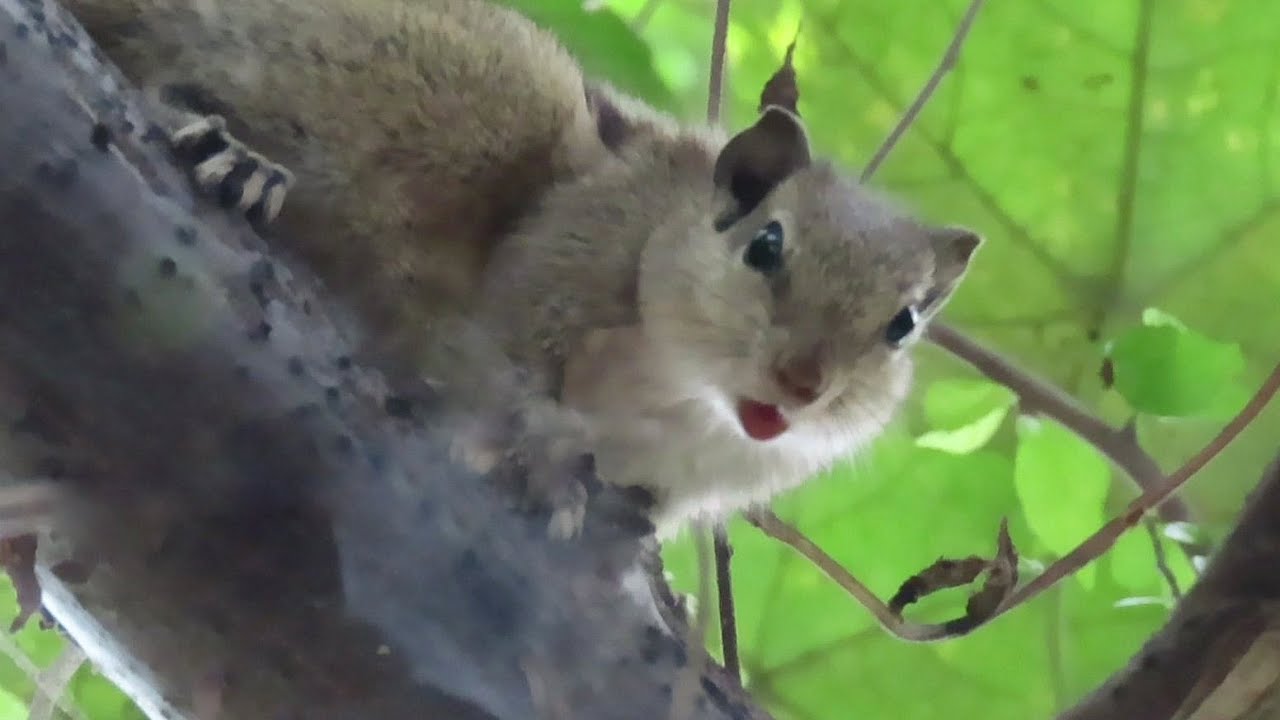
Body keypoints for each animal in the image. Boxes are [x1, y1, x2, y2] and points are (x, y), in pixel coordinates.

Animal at [63, 0, 982, 539]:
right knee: (182, 78)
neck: (677, 397)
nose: (802, 384)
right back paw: (236, 155)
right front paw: (543, 463)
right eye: (765, 246)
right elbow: (502, 367)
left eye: (902, 325)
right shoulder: (561, 256)